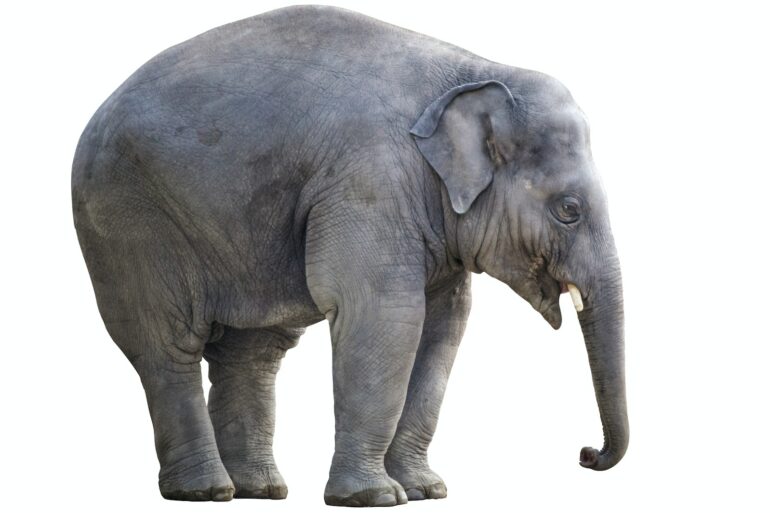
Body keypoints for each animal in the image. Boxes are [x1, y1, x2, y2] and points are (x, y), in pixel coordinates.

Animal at [72, 5, 628, 507]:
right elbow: (386, 315)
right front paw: (376, 497)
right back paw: (205, 491)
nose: (585, 454)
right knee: (168, 346)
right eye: (569, 210)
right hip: (128, 219)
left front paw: (426, 491)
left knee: (254, 351)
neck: (476, 71)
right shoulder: (369, 180)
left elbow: (443, 327)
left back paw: (259, 490)